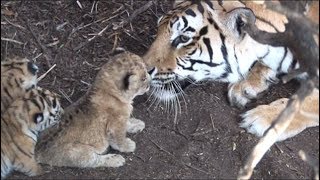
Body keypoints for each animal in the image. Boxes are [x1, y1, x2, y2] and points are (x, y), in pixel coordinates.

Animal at [144, 0, 318, 141]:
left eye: (183, 39)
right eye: (158, 29)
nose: (143, 70)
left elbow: (303, 103)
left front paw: (263, 118)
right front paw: (246, 85)